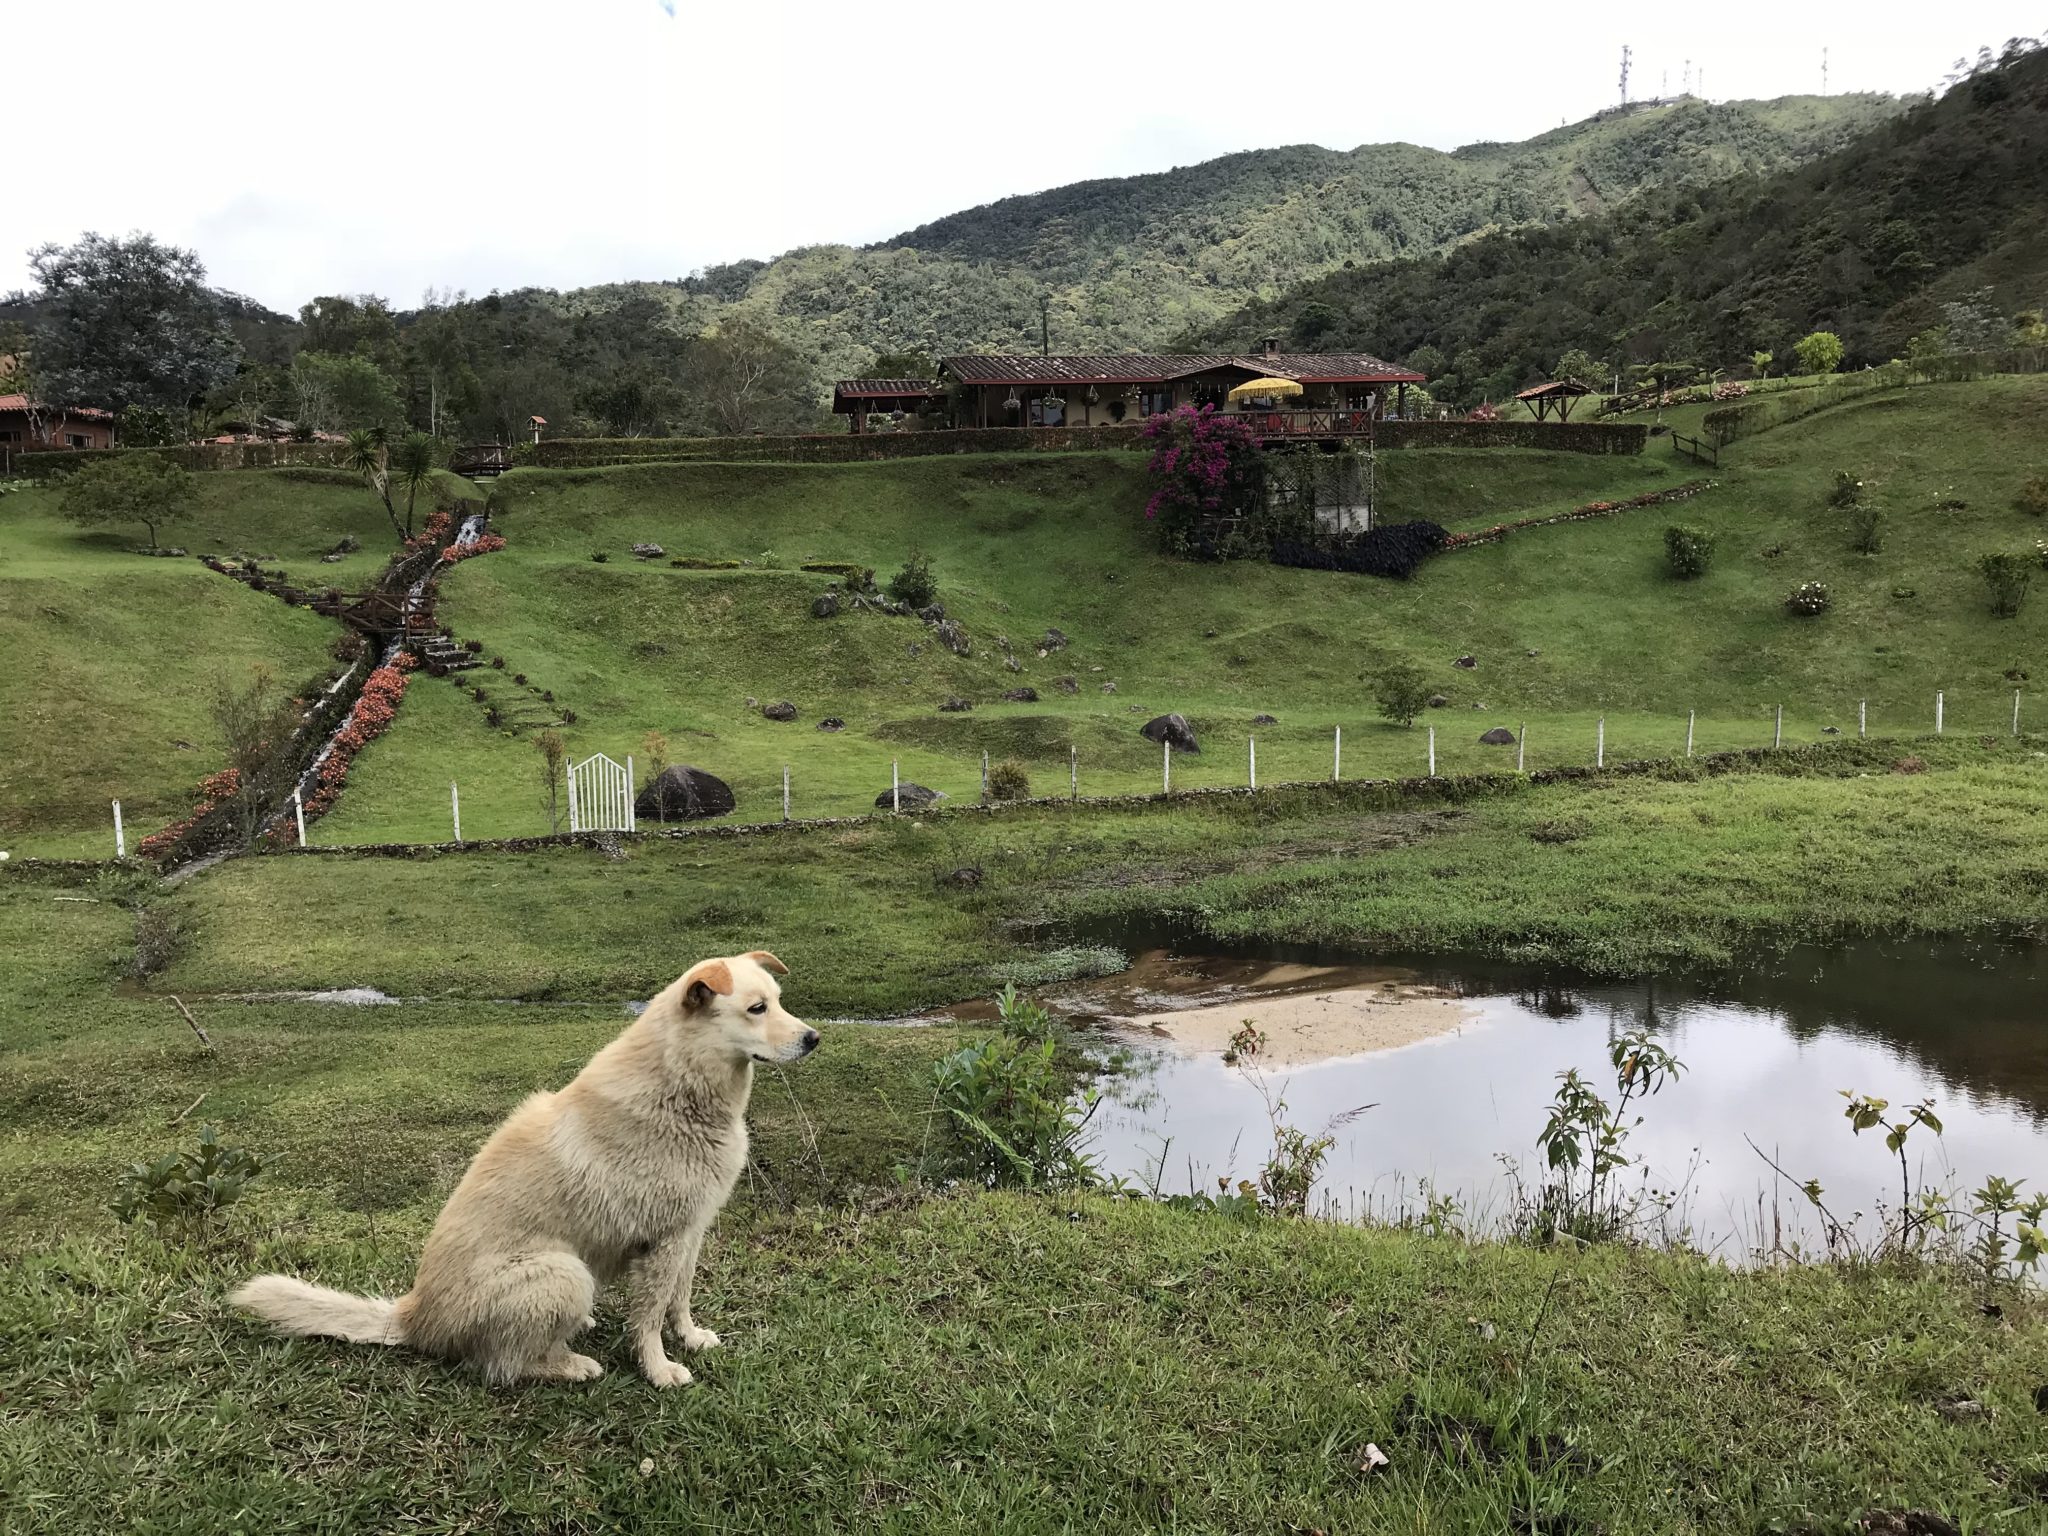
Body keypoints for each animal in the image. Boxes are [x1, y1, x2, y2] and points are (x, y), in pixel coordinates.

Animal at [234, 958, 815, 1392]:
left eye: (779, 999)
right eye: (757, 1008)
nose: (813, 1039)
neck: (682, 1088)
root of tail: (414, 1316)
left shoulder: (689, 1233)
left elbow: (680, 1299)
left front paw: (689, 1338)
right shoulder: (661, 1242)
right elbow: (649, 1317)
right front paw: (658, 1370)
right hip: (565, 1272)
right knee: (501, 1366)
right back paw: (571, 1364)